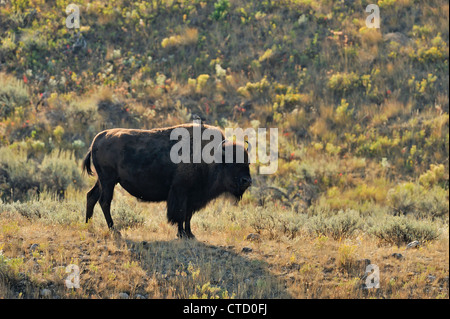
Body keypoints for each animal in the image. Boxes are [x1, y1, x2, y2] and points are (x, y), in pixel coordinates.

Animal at [82, 124, 251, 239]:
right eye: (231, 163)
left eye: (248, 162)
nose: (247, 180)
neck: (211, 157)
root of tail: (97, 139)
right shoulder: (181, 192)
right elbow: (180, 214)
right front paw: (181, 234)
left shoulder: (192, 196)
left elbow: (188, 215)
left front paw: (190, 234)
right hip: (109, 181)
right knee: (104, 201)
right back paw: (114, 230)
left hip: (102, 181)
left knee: (91, 196)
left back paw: (88, 225)